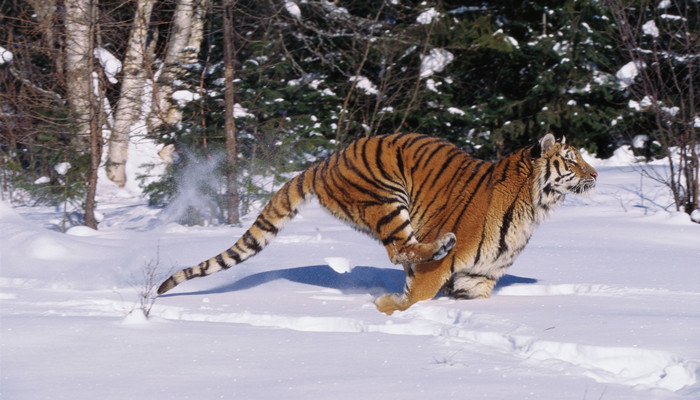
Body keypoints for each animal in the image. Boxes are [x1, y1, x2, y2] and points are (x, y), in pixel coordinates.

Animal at [157, 132, 597, 315]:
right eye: (571, 160)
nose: (595, 174)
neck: (534, 207)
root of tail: (326, 161)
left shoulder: (478, 279)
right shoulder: (441, 273)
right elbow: (418, 295)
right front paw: (391, 309)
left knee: (399, 252)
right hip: (387, 198)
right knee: (401, 248)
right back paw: (439, 244)